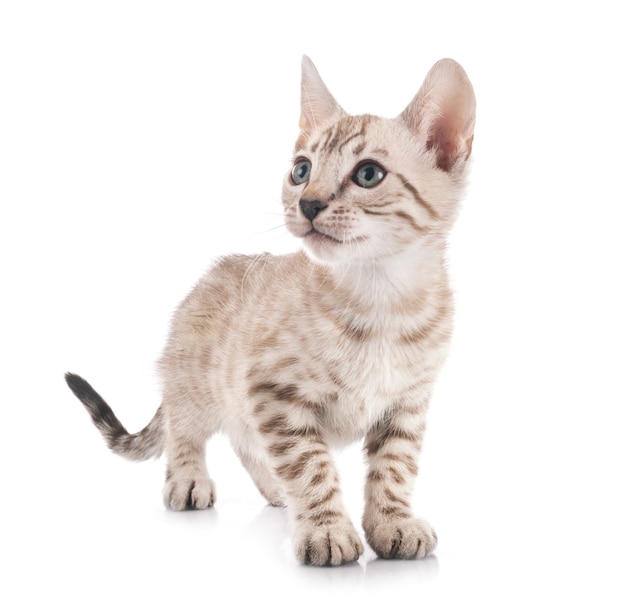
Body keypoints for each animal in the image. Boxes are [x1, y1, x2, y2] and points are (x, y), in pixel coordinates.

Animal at [66, 56, 472, 568]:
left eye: (368, 174)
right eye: (301, 170)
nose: (309, 202)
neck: (381, 299)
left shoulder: (407, 404)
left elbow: (394, 468)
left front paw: (392, 522)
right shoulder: (274, 392)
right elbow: (311, 466)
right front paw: (326, 529)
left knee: (245, 442)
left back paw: (275, 490)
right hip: (197, 384)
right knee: (183, 428)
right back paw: (188, 479)